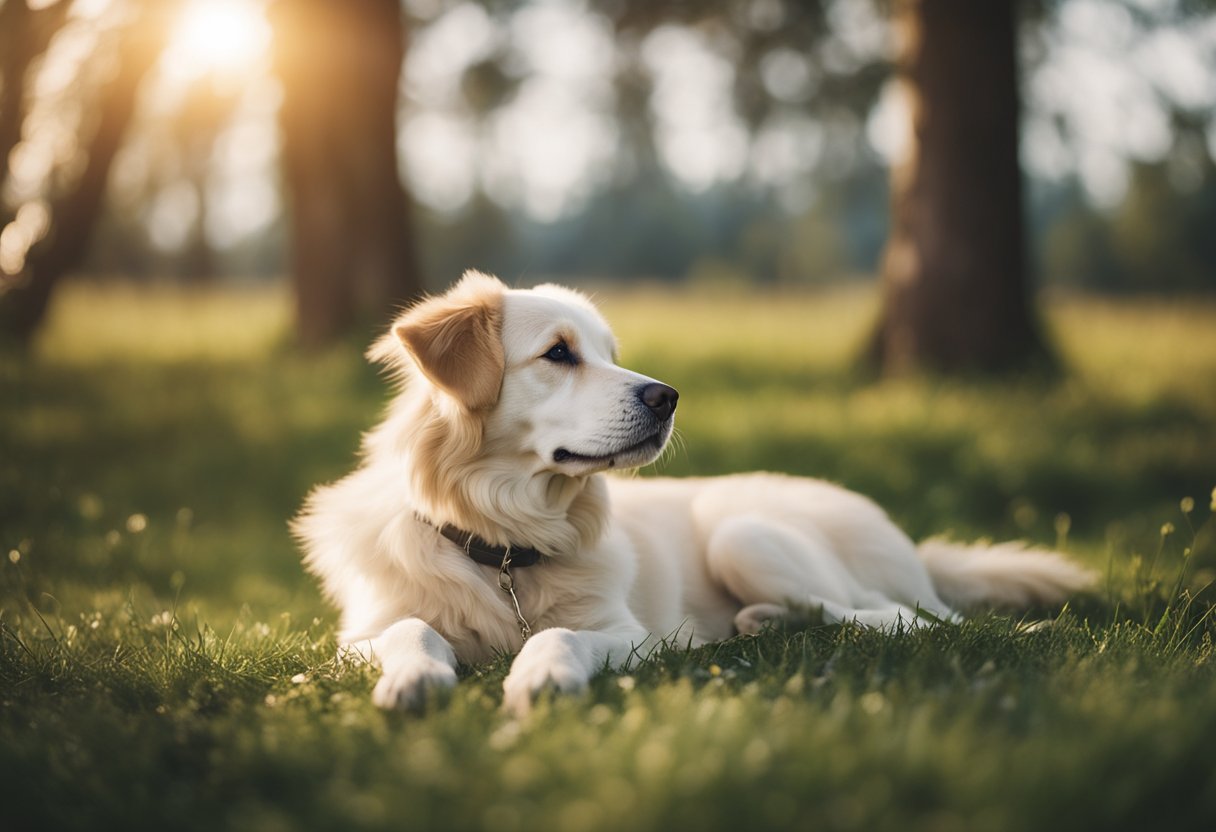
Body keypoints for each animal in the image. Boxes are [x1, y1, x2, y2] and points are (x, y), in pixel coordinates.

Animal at [294, 272, 1094, 715]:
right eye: (559, 353)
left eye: (610, 354)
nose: (668, 396)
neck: (505, 542)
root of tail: (914, 548)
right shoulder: (359, 635)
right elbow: (411, 631)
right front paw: (415, 680)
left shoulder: (628, 635)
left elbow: (556, 634)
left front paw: (541, 675)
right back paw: (763, 625)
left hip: (746, 534)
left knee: (905, 618)